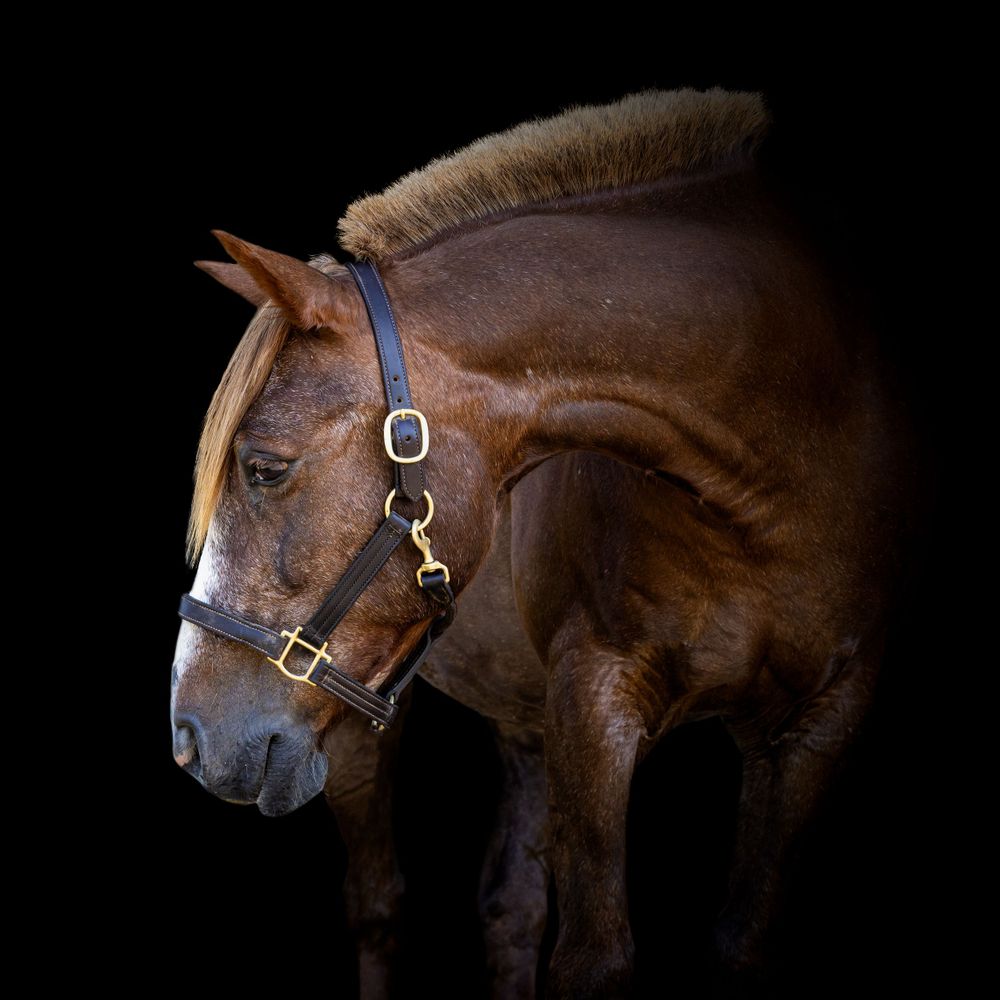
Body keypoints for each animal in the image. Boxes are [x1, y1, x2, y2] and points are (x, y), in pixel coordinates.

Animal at [171, 87, 921, 997]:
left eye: (264, 468)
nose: (189, 736)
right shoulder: (593, 700)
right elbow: (593, 956)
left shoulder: (821, 721)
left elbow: (738, 941)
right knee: (380, 905)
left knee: (511, 909)